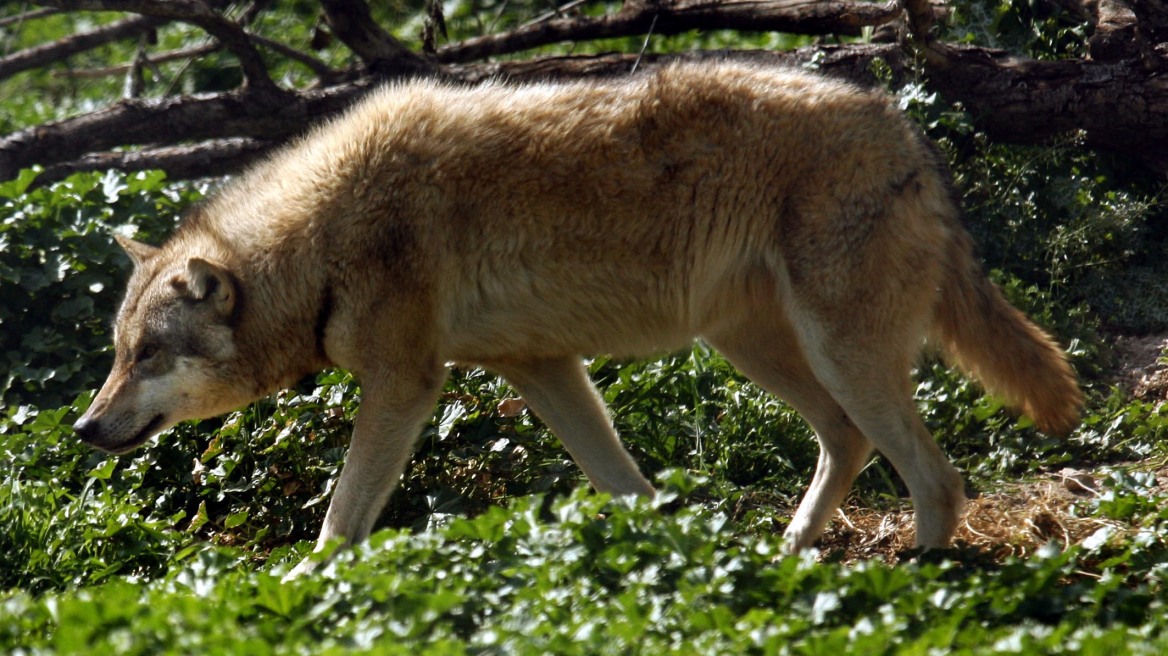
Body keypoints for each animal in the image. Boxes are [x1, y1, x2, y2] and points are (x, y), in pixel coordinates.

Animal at [73, 62, 1079, 571]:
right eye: (118, 353)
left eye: (148, 355)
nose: (83, 428)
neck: (320, 239)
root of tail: (903, 123)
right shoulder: (542, 368)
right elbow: (630, 491)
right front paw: (682, 568)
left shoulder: (405, 385)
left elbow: (338, 526)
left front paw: (312, 598)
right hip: (757, 349)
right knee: (850, 442)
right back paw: (789, 557)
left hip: (834, 353)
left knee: (937, 478)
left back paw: (921, 587)